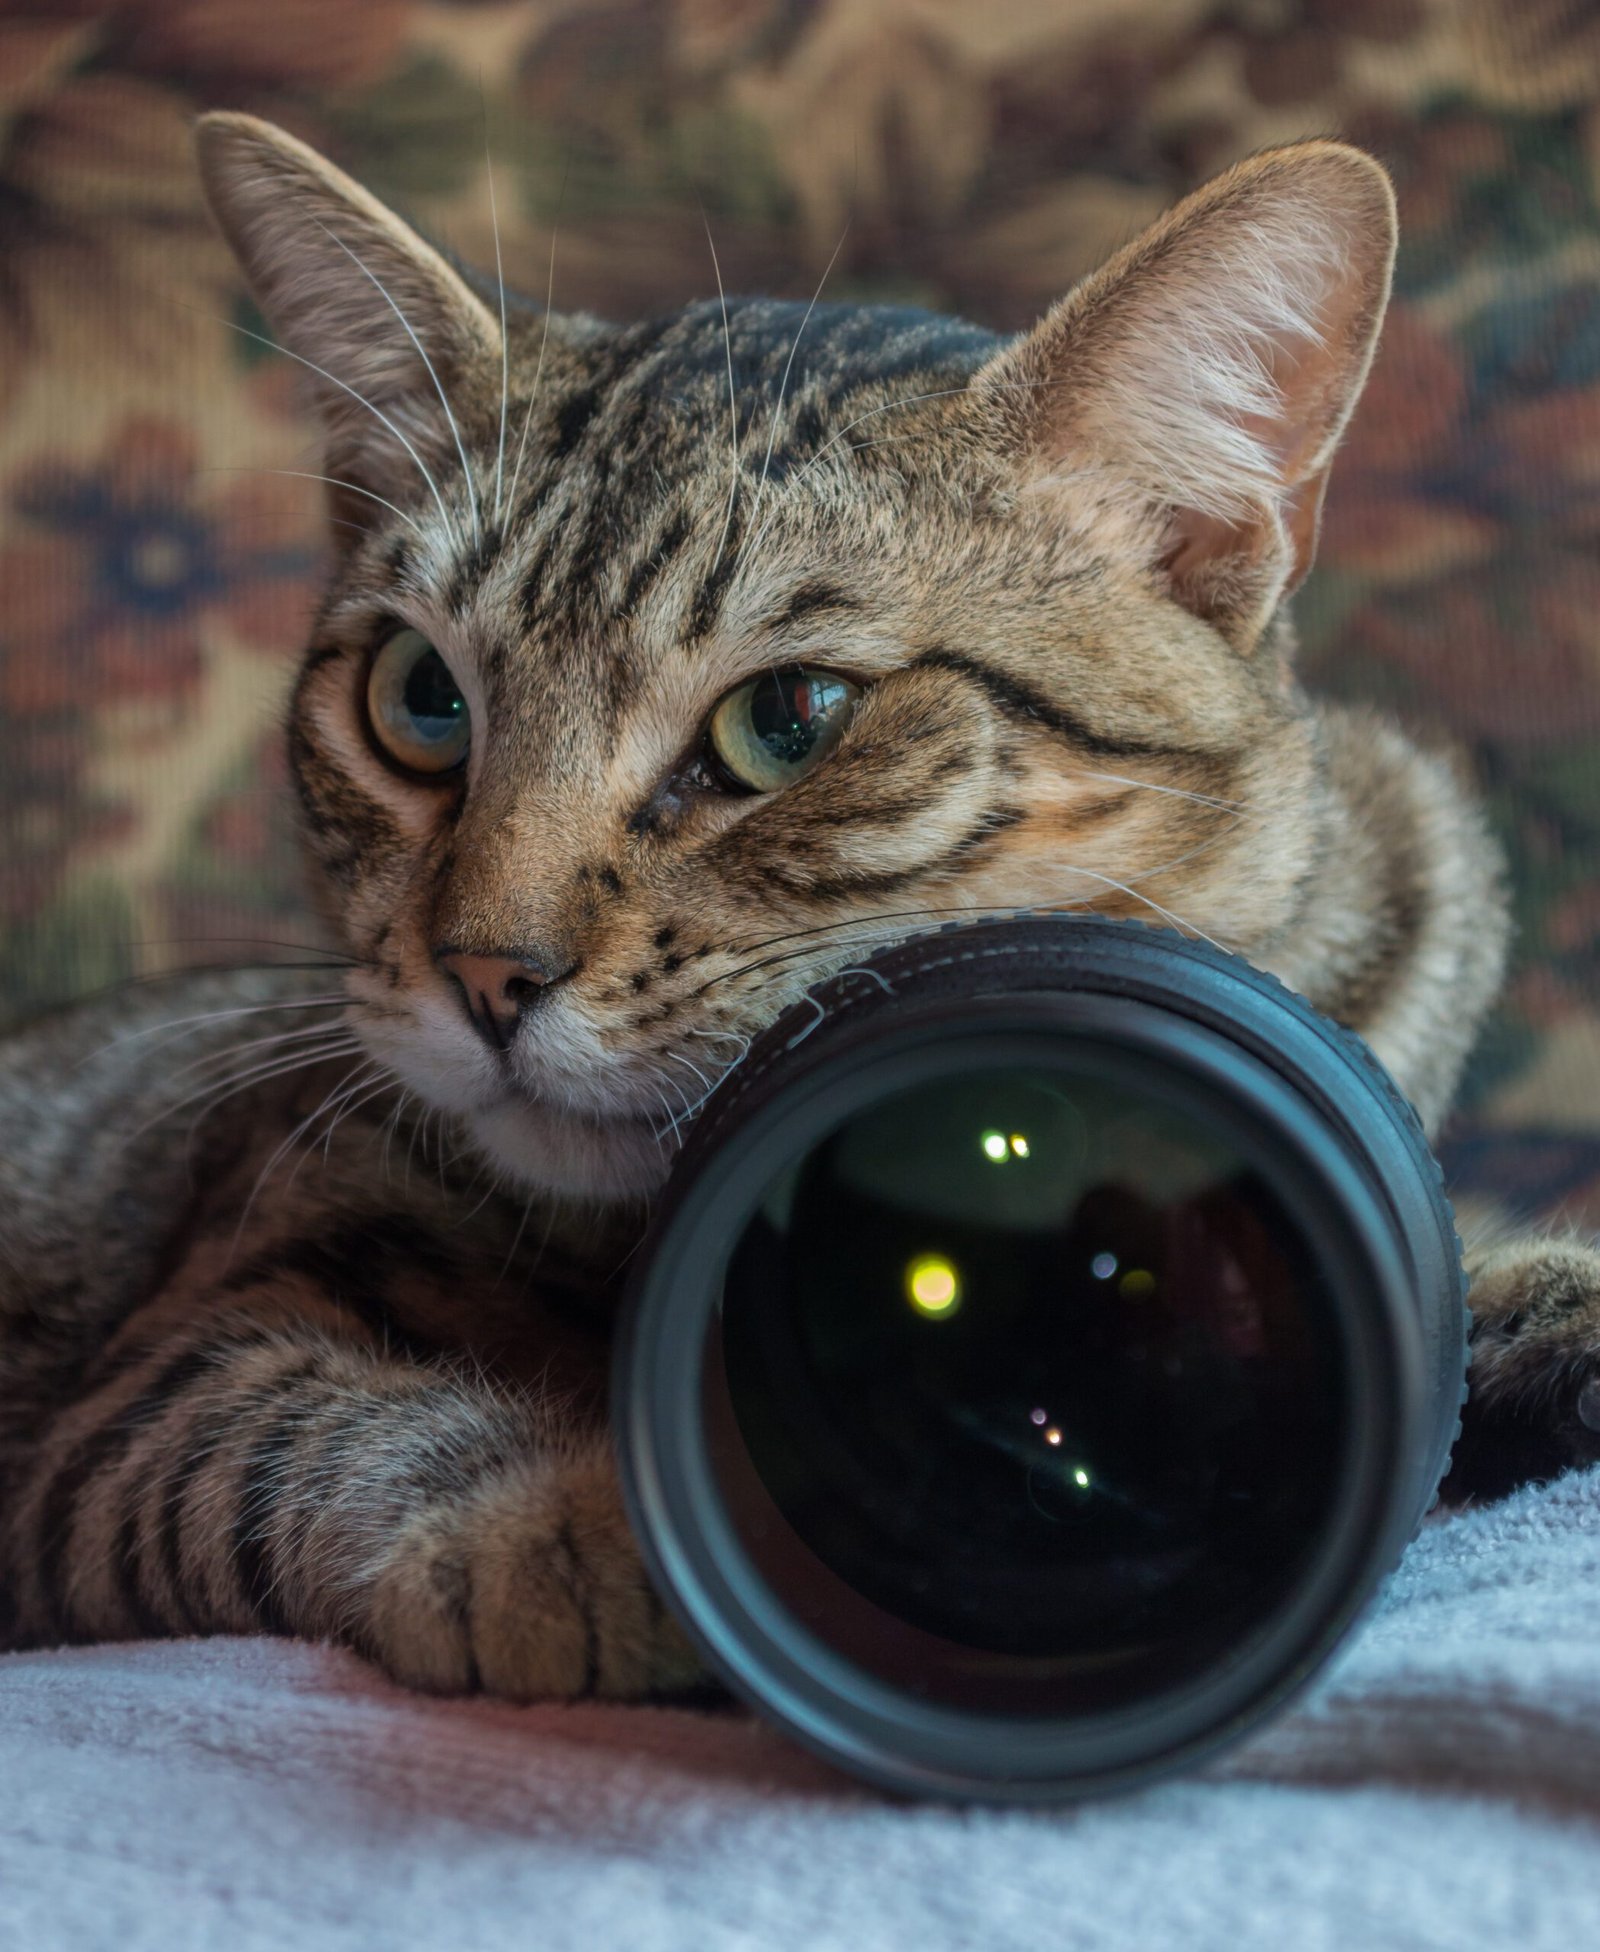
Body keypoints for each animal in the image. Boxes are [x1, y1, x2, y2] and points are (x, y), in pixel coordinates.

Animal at [3, 118, 1600, 1694]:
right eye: (420, 700)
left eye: (788, 718)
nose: (485, 973)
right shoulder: (165, 1371)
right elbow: (316, 1437)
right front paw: (598, 1532)